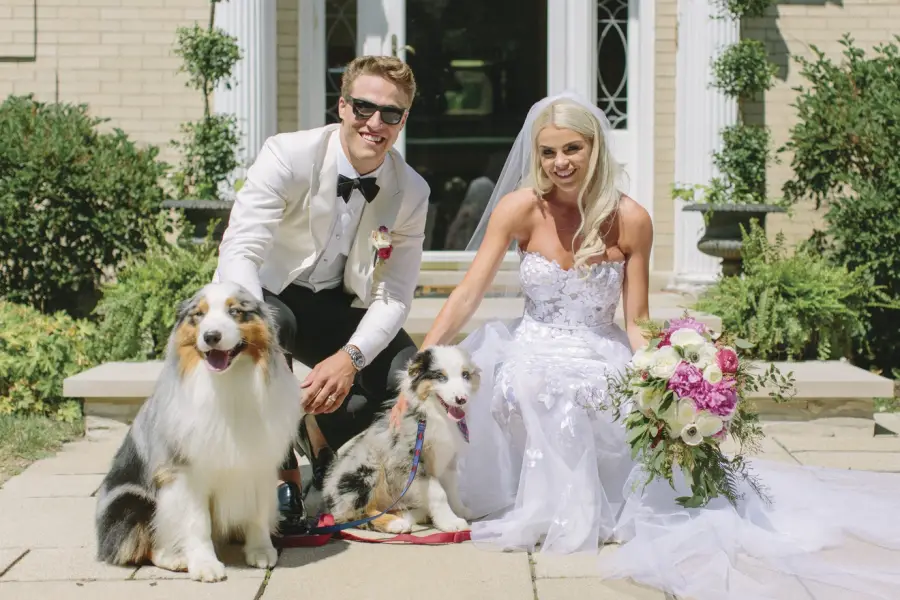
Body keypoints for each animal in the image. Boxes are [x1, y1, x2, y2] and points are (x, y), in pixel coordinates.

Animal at [93, 284, 302, 584]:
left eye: (235, 311)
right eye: (198, 315)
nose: (211, 336)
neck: (228, 384)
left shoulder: (259, 463)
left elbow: (258, 511)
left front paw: (261, 550)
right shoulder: (185, 471)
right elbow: (196, 522)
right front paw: (205, 564)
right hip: (131, 502)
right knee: (140, 546)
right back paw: (176, 559)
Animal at [320, 346, 482, 536]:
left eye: (465, 375)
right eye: (441, 377)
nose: (461, 399)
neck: (433, 414)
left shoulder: (448, 458)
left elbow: (452, 489)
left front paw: (460, 510)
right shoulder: (412, 461)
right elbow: (439, 493)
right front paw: (450, 522)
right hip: (366, 467)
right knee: (357, 514)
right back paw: (396, 523)